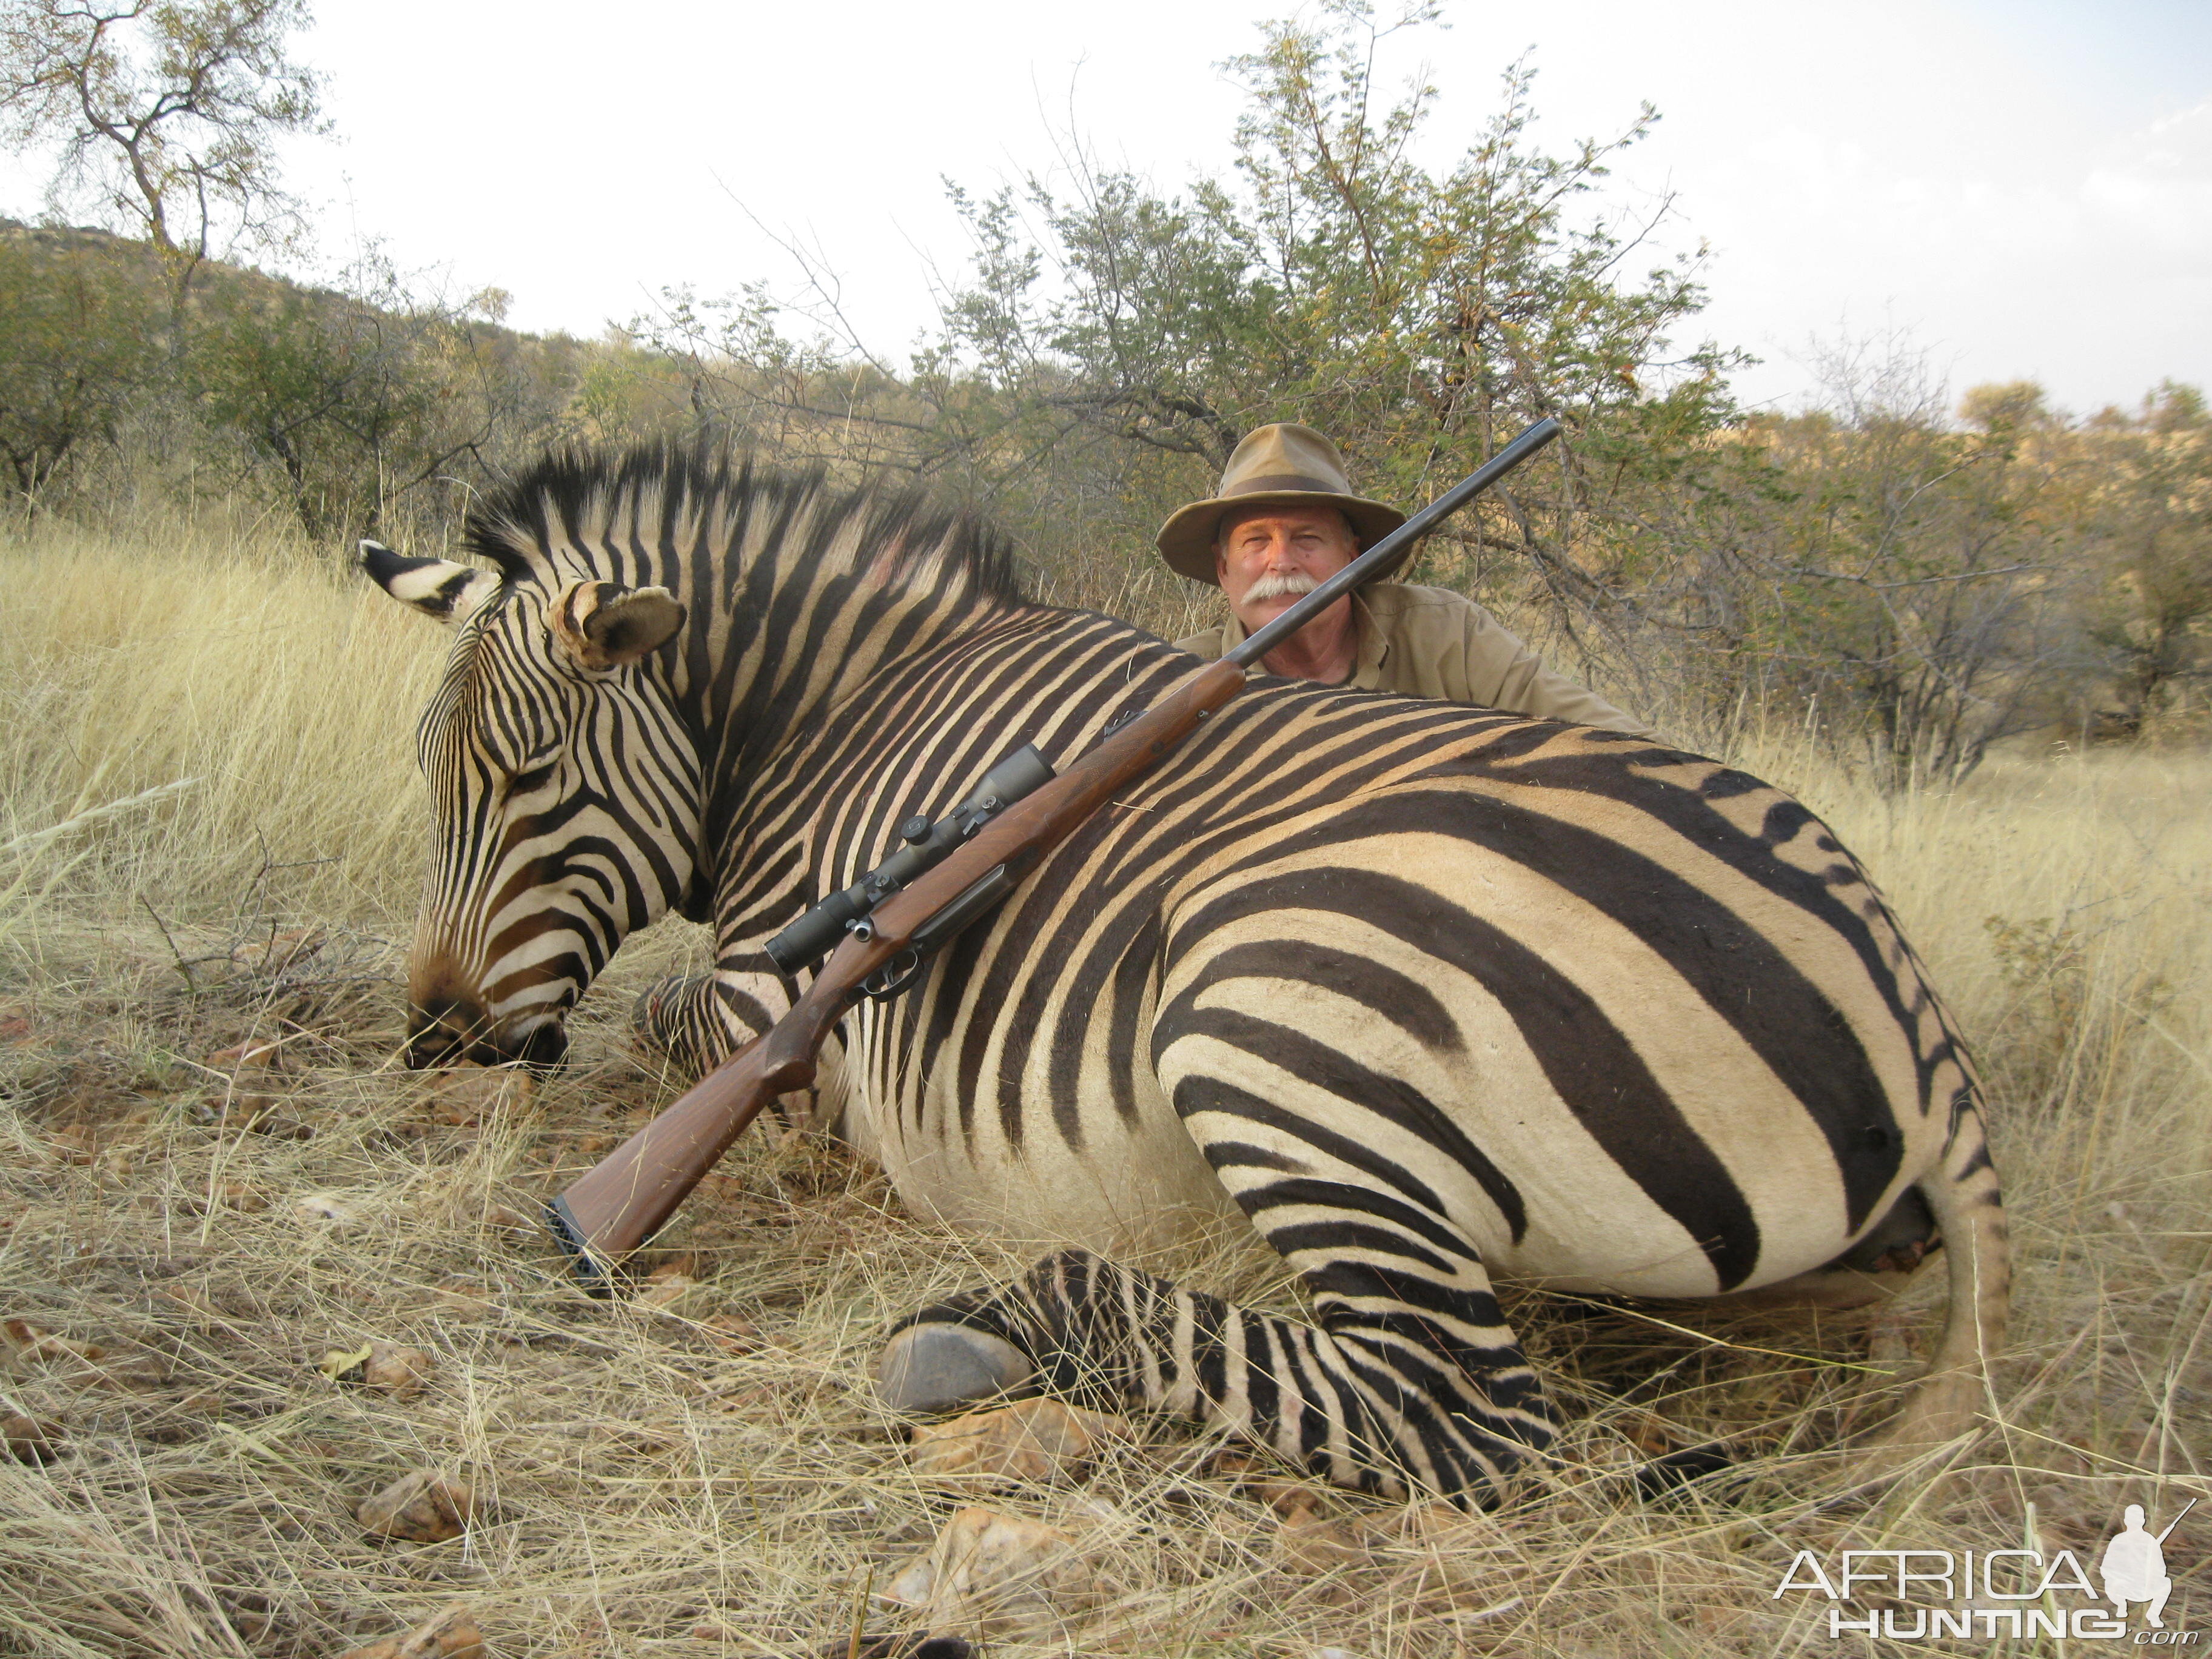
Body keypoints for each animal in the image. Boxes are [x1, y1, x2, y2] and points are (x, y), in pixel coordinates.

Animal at [363, 442, 2008, 1504]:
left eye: (523, 776)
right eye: (428, 771)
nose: (438, 1039)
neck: (833, 716)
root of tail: (1914, 1019)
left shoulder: (778, 992)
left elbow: (662, 1016)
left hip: (1258, 998)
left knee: (1474, 1420)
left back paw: (974, 1336)